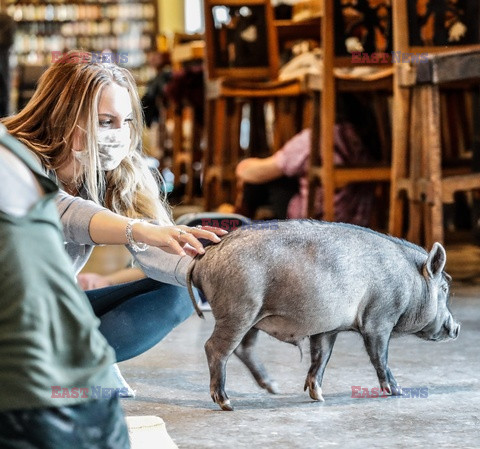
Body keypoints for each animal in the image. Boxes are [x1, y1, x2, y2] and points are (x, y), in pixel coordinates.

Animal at [186, 220, 460, 410]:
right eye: (445, 288)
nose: (456, 328)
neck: (411, 281)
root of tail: (204, 257)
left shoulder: (328, 328)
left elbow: (321, 356)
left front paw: (318, 396)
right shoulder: (379, 319)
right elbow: (379, 356)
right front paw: (398, 391)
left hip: (251, 317)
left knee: (244, 349)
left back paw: (274, 388)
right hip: (238, 310)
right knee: (214, 348)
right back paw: (227, 403)